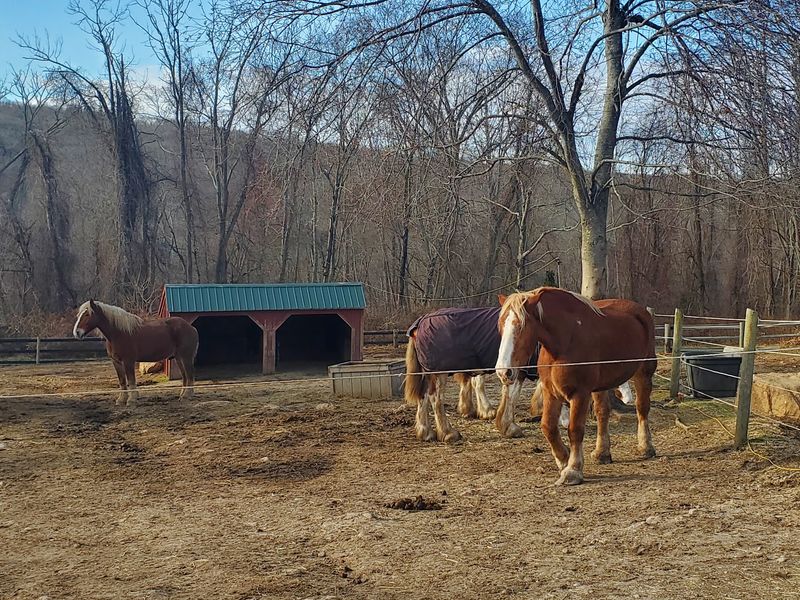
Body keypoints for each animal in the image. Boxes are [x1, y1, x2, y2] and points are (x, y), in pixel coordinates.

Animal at [405, 307, 540, 443]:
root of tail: (420, 321)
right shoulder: (516, 369)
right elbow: (512, 395)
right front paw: (509, 427)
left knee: (423, 395)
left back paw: (425, 432)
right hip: (438, 373)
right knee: (435, 397)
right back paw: (448, 432)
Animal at [495, 287, 656, 485]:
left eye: (521, 326)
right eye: (500, 325)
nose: (504, 372)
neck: (565, 342)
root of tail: (641, 311)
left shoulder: (580, 394)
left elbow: (575, 430)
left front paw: (573, 470)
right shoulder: (551, 392)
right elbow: (548, 427)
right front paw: (564, 459)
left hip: (644, 373)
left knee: (642, 408)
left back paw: (645, 447)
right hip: (601, 386)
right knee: (603, 412)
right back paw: (602, 453)